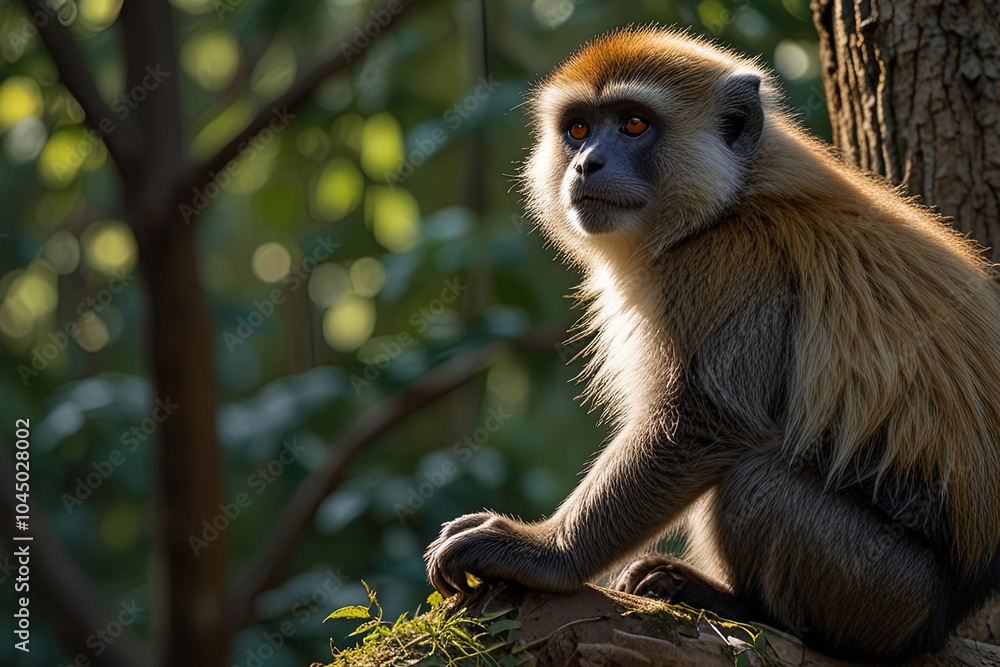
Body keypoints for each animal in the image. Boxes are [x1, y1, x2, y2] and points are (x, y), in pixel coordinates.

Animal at [424, 27, 1000, 662]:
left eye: (633, 124)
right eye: (577, 128)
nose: (585, 162)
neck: (727, 201)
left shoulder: (729, 263)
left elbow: (703, 420)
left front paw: (542, 555)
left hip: (890, 593)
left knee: (754, 480)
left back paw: (743, 606)